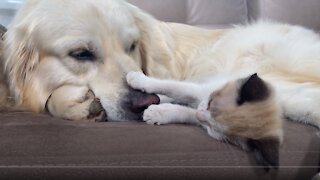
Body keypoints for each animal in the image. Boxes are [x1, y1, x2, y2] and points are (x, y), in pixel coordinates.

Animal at [126, 71, 284, 169]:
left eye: (214, 130)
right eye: (210, 103)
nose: (200, 115)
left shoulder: (200, 116)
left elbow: (186, 112)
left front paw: (159, 112)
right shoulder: (200, 91)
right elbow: (174, 87)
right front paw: (139, 80)